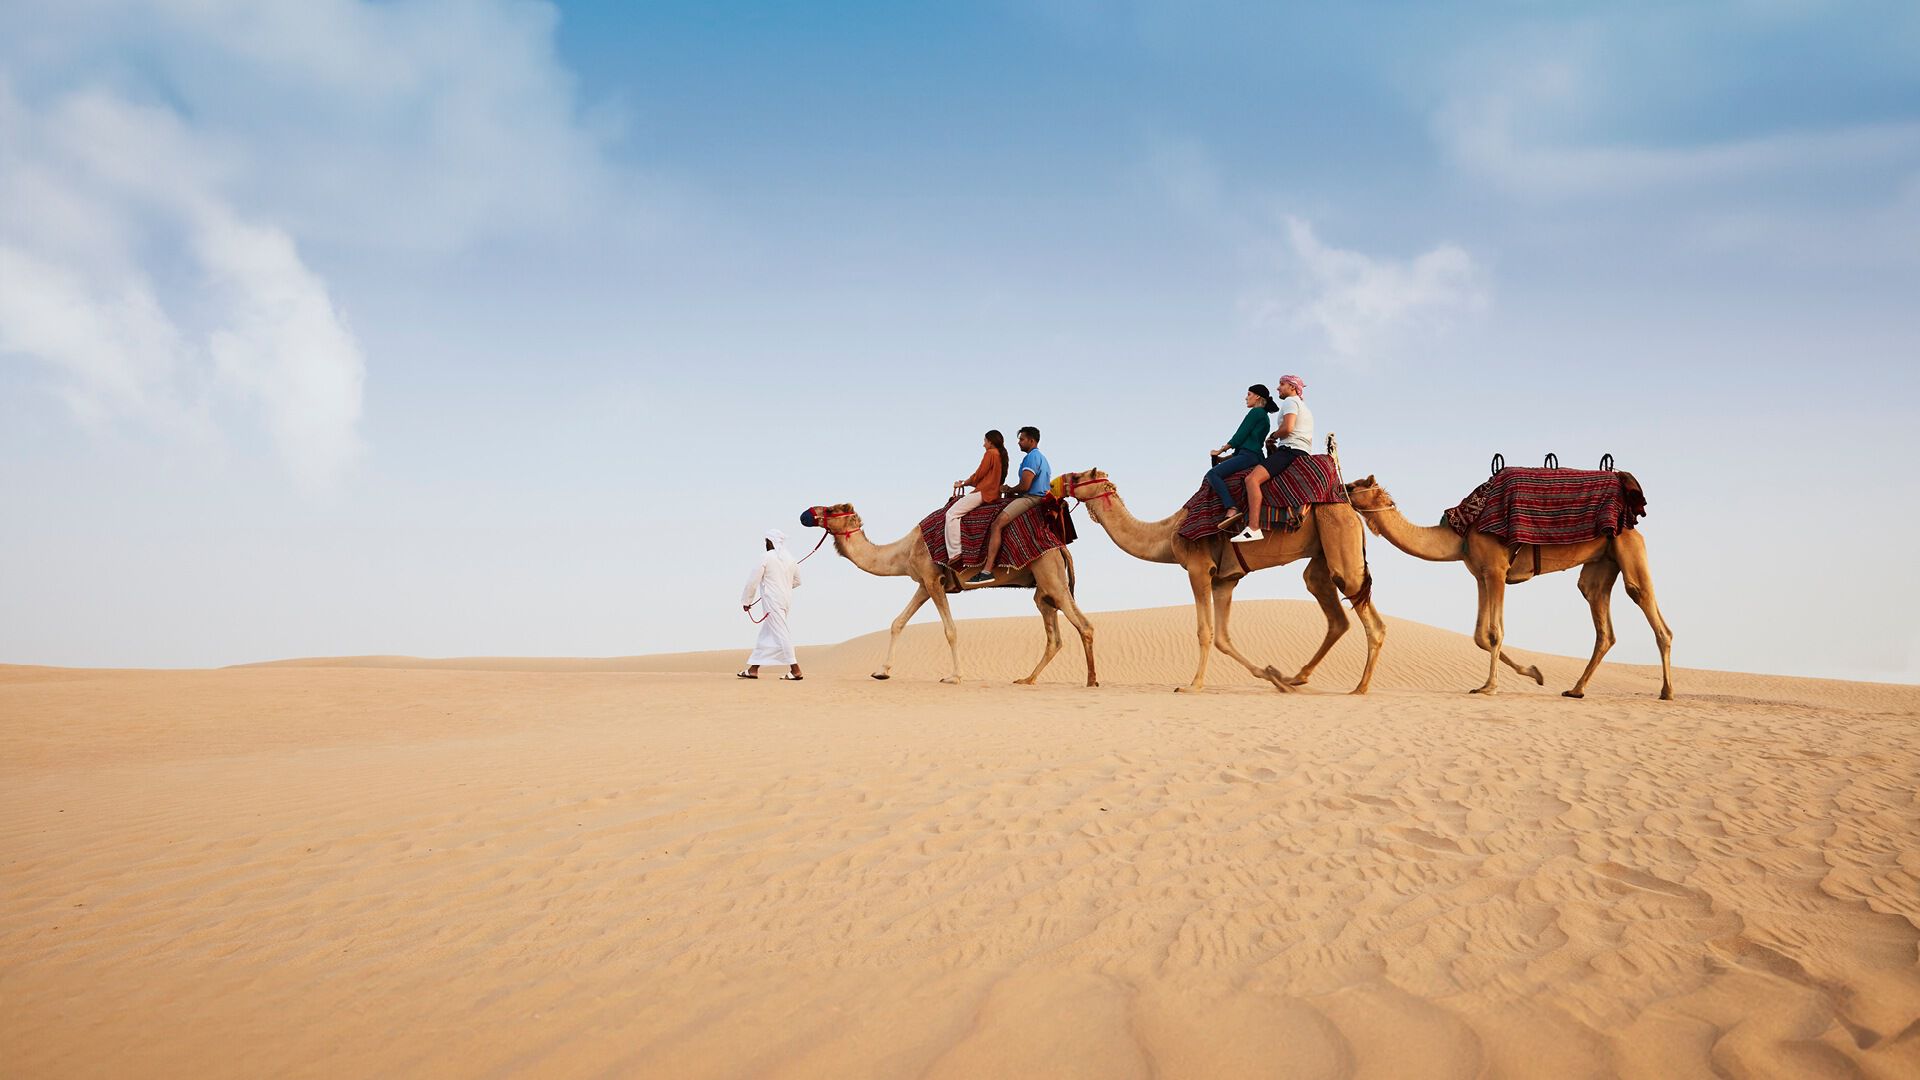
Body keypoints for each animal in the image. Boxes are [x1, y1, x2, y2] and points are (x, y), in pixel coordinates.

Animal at [799, 503, 1097, 686]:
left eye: (831, 509)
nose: (807, 513)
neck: (905, 550)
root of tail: (1059, 546)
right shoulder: (924, 584)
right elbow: (897, 622)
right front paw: (881, 672)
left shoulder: (933, 580)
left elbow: (950, 630)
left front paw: (954, 677)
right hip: (1043, 588)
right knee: (1054, 635)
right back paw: (1027, 679)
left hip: (1051, 576)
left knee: (1084, 625)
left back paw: (1091, 680)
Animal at [1049, 467, 1384, 694]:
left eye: (1077, 476)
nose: (1055, 484)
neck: (1168, 534)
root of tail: (1349, 508)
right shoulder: (1226, 579)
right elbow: (1223, 636)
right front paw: (1271, 675)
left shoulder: (1198, 568)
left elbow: (1205, 631)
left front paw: (1192, 685)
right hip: (1322, 556)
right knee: (1333, 611)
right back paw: (1296, 678)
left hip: (1340, 544)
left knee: (1370, 618)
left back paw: (1360, 688)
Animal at [1343, 476, 1673, 699]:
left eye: (1353, 486)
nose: (1341, 490)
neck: (1460, 535)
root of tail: (1631, 522)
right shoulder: (1480, 575)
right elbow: (1479, 636)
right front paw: (1534, 674)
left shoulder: (1496, 571)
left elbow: (1494, 632)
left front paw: (1490, 687)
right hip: (1602, 564)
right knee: (1601, 619)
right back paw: (1576, 690)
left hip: (1629, 550)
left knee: (1646, 604)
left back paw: (1666, 691)